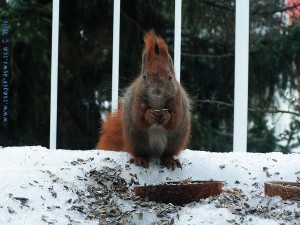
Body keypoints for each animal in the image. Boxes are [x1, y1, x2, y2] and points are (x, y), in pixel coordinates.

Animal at [96, 30, 191, 170]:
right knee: (141, 152)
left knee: (167, 153)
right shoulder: (136, 101)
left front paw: (166, 115)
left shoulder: (178, 101)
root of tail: (155, 153)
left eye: (170, 77)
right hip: (137, 139)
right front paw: (149, 115)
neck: (157, 103)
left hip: (175, 141)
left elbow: (175, 119)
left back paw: (169, 160)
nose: (156, 92)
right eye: (144, 76)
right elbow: (139, 118)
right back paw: (140, 159)